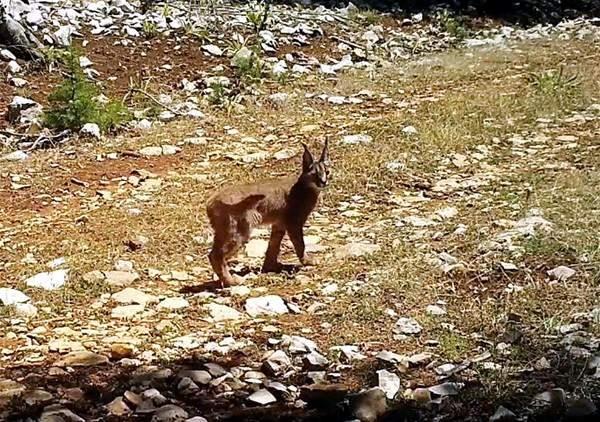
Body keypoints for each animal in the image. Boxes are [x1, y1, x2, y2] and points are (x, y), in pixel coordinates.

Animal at [205, 140, 328, 288]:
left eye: (327, 171)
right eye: (314, 174)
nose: (323, 182)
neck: (305, 187)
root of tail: (211, 201)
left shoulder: (279, 223)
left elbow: (273, 244)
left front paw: (270, 266)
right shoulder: (294, 222)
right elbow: (300, 243)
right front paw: (307, 261)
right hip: (239, 231)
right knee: (215, 255)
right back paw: (232, 281)